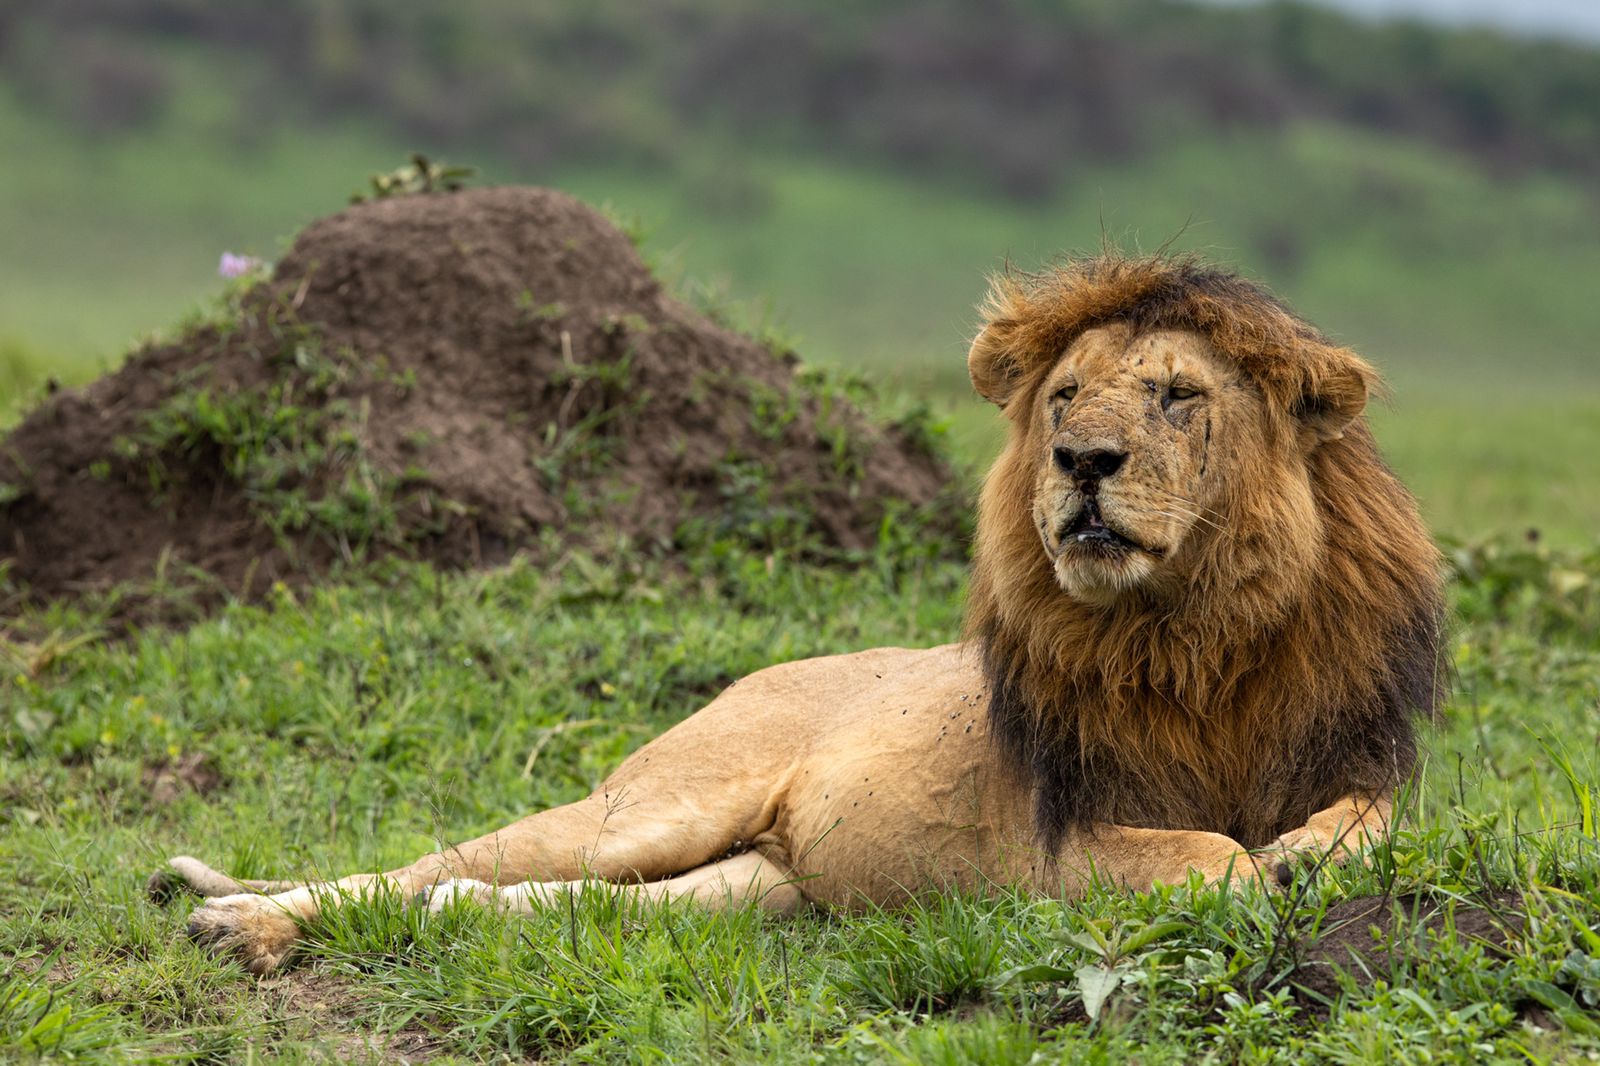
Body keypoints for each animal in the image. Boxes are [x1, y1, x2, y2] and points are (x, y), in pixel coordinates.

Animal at [159, 251, 1452, 973]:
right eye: (1065, 395)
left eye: (1180, 395)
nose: (1082, 460)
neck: (1191, 637)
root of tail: (759, 673)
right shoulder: (1057, 840)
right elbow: (1208, 859)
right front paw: (1260, 869)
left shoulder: (1359, 755)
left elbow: (1371, 822)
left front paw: (1306, 854)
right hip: (656, 804)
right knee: (416, 864)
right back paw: (238, 923)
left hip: (764, 887)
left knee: (536, 901)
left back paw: (445, 914)